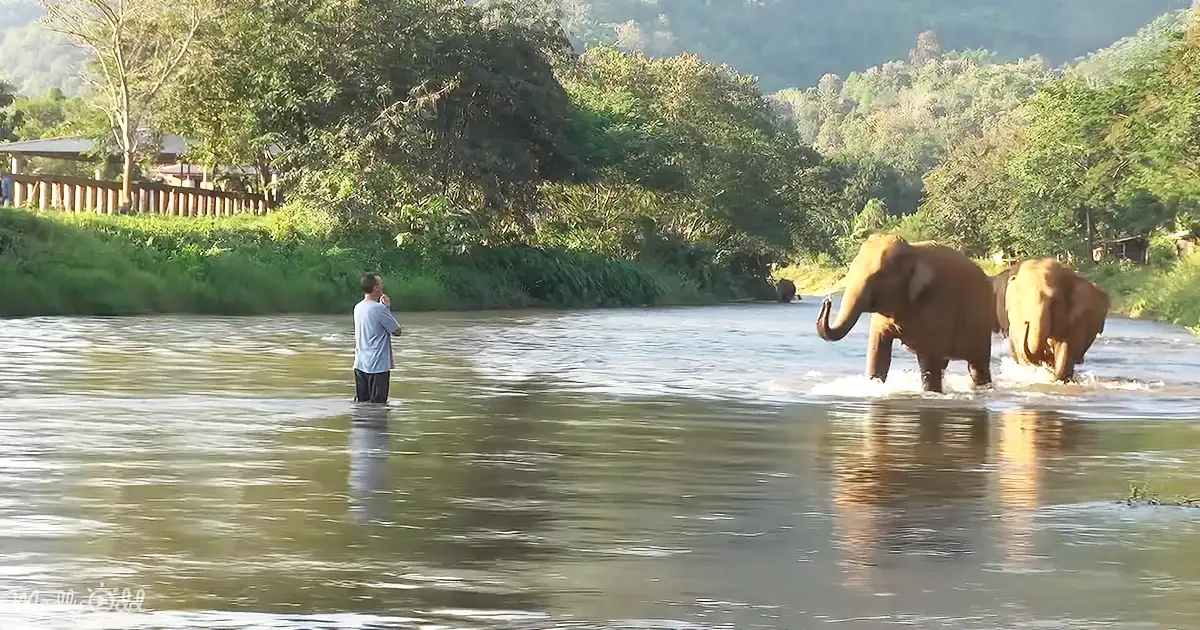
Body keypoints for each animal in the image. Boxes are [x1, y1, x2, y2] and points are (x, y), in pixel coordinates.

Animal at [815, 234, 995, 393]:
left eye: (878, 276)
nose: (827, 300)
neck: (913, 252)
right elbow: (878, 350)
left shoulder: (937, 300)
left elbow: (929, 357)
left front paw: (931, 393)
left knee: (976, 366)